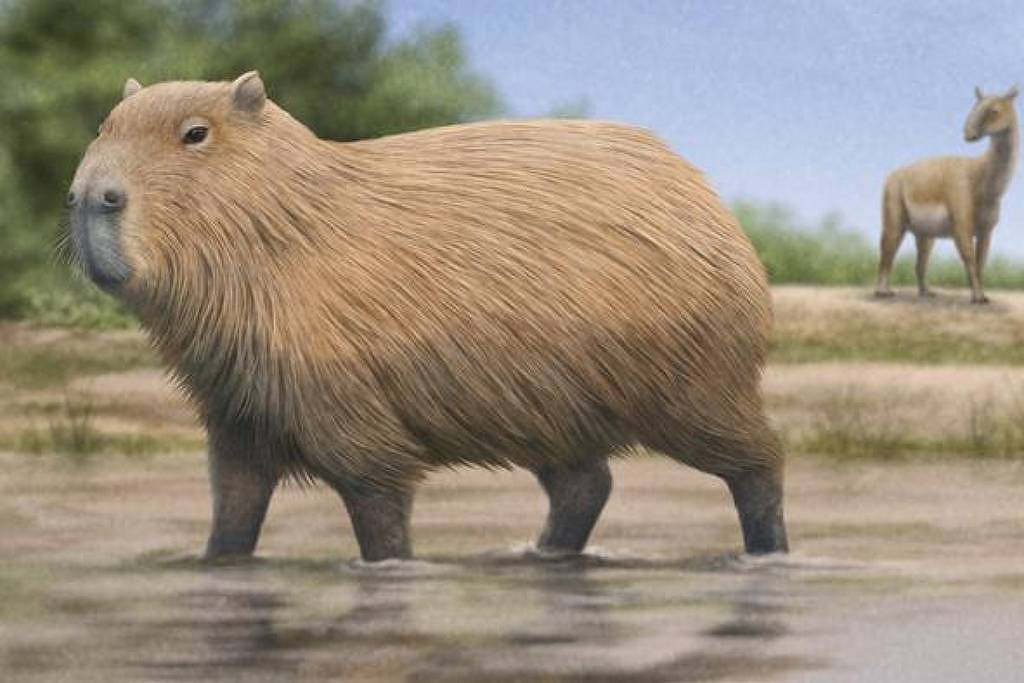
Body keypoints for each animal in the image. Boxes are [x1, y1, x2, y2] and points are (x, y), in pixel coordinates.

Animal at [875, 85, 1019, 304]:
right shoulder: (962, 225)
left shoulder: (986, 230)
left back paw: (926, 292)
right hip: (894, 217)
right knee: (886, 251)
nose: (968, 134)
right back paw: (883, 292)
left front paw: (983, 295)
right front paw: (977, 297)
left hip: (925, 233)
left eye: (994, 110)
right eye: (975, 106)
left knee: (920, 261)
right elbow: (969, 259)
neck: (980, 177)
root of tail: (891, 176)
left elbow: (981, 262)